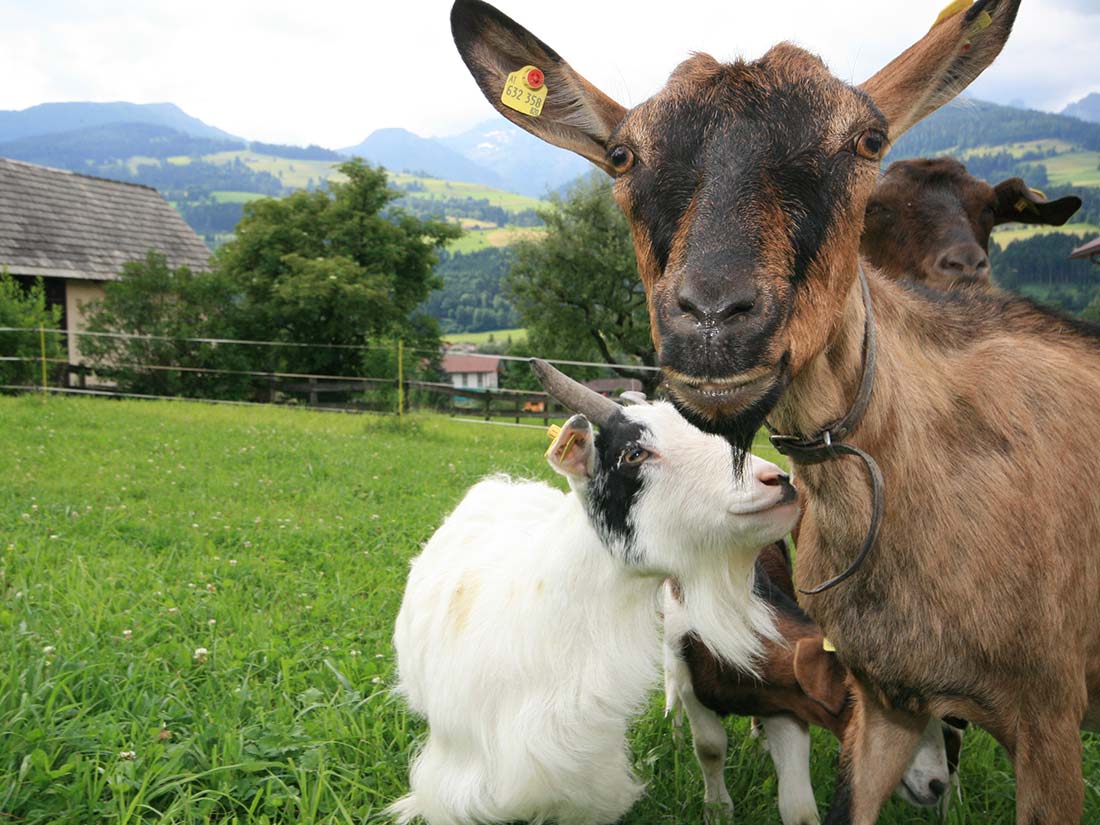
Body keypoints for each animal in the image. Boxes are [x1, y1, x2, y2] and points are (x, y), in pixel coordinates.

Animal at [663, 541, 964, 825]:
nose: (937, 785)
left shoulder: (784, 702)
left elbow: (799, 809)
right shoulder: (692, 686)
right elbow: (710, 747)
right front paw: (717, 811)